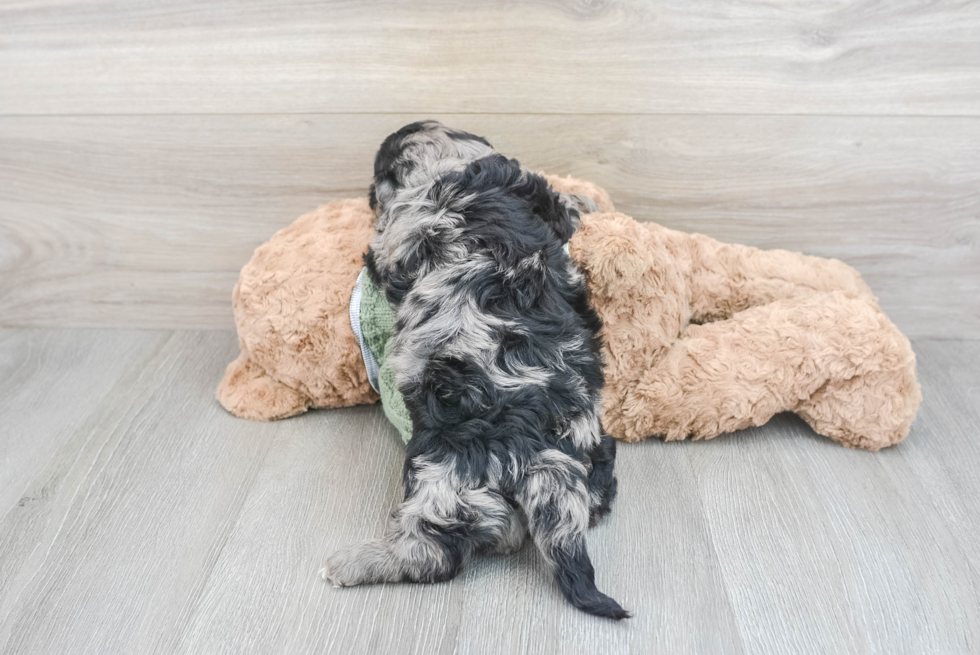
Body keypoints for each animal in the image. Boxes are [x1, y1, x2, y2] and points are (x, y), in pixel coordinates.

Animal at [322, 123, 628, 620]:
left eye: (378, 180)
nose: (367, 195)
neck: (455, 165)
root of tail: (537, 448)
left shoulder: (400, 233)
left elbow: (382, 246)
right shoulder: (542, 201)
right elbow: (567, 206)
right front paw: (591, 203)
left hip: (442, 473)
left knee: (434, 550)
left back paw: (352, 563)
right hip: (591, 454)